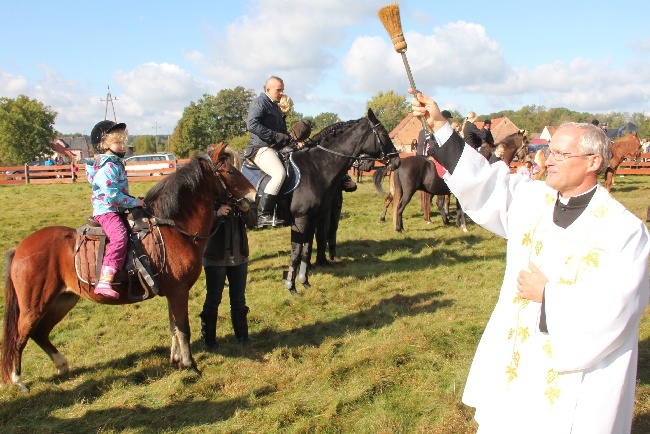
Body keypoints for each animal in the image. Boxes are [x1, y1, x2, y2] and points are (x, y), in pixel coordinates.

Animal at [1, 144, 256, 392]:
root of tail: (20, 249)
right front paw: (190, 365)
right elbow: (183, 328)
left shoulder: (172, 292)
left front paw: (176, 360)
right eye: (230, 171)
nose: (254, 195)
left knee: (39, 333)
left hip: (63, 300)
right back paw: (18, 380)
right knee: (19, 336)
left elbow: (173, 326)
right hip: (34, 305)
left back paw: (61, 365)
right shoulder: (179, 291)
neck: (174, 227)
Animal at [246, 108, 398, 294]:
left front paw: (304, 282)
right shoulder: (300, 220)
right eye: (383, 133)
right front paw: (291, 287)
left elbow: (306, 250)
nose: (397, 160)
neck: (316, 168)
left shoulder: (313, 219)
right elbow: (296, 252)